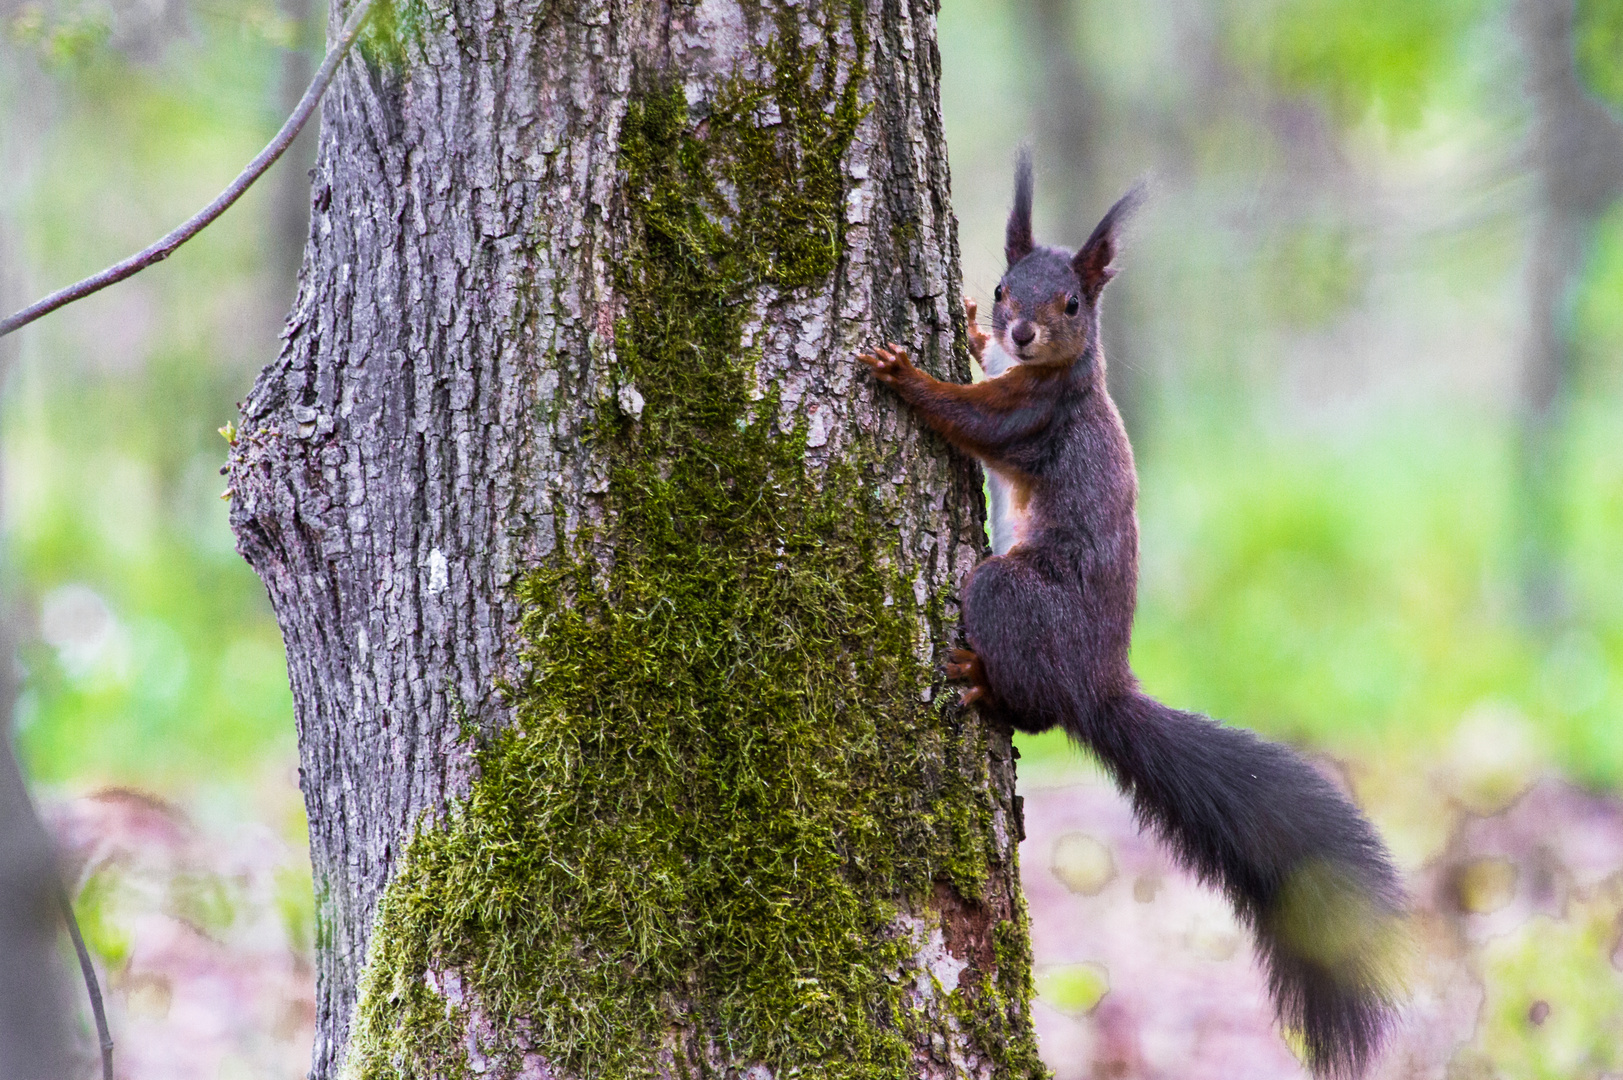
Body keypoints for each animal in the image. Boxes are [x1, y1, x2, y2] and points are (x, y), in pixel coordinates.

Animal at [863, 153, 1408, 1078]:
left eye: (1071, 304)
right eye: (1004, 287)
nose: (1017, 332)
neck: (1066, 374)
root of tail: (1100, 684)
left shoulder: (1029, 414)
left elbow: (970, 416)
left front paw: (907, 376)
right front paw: (963, 326)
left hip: (1006, 595)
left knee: (1036, 710)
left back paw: (982, 681)